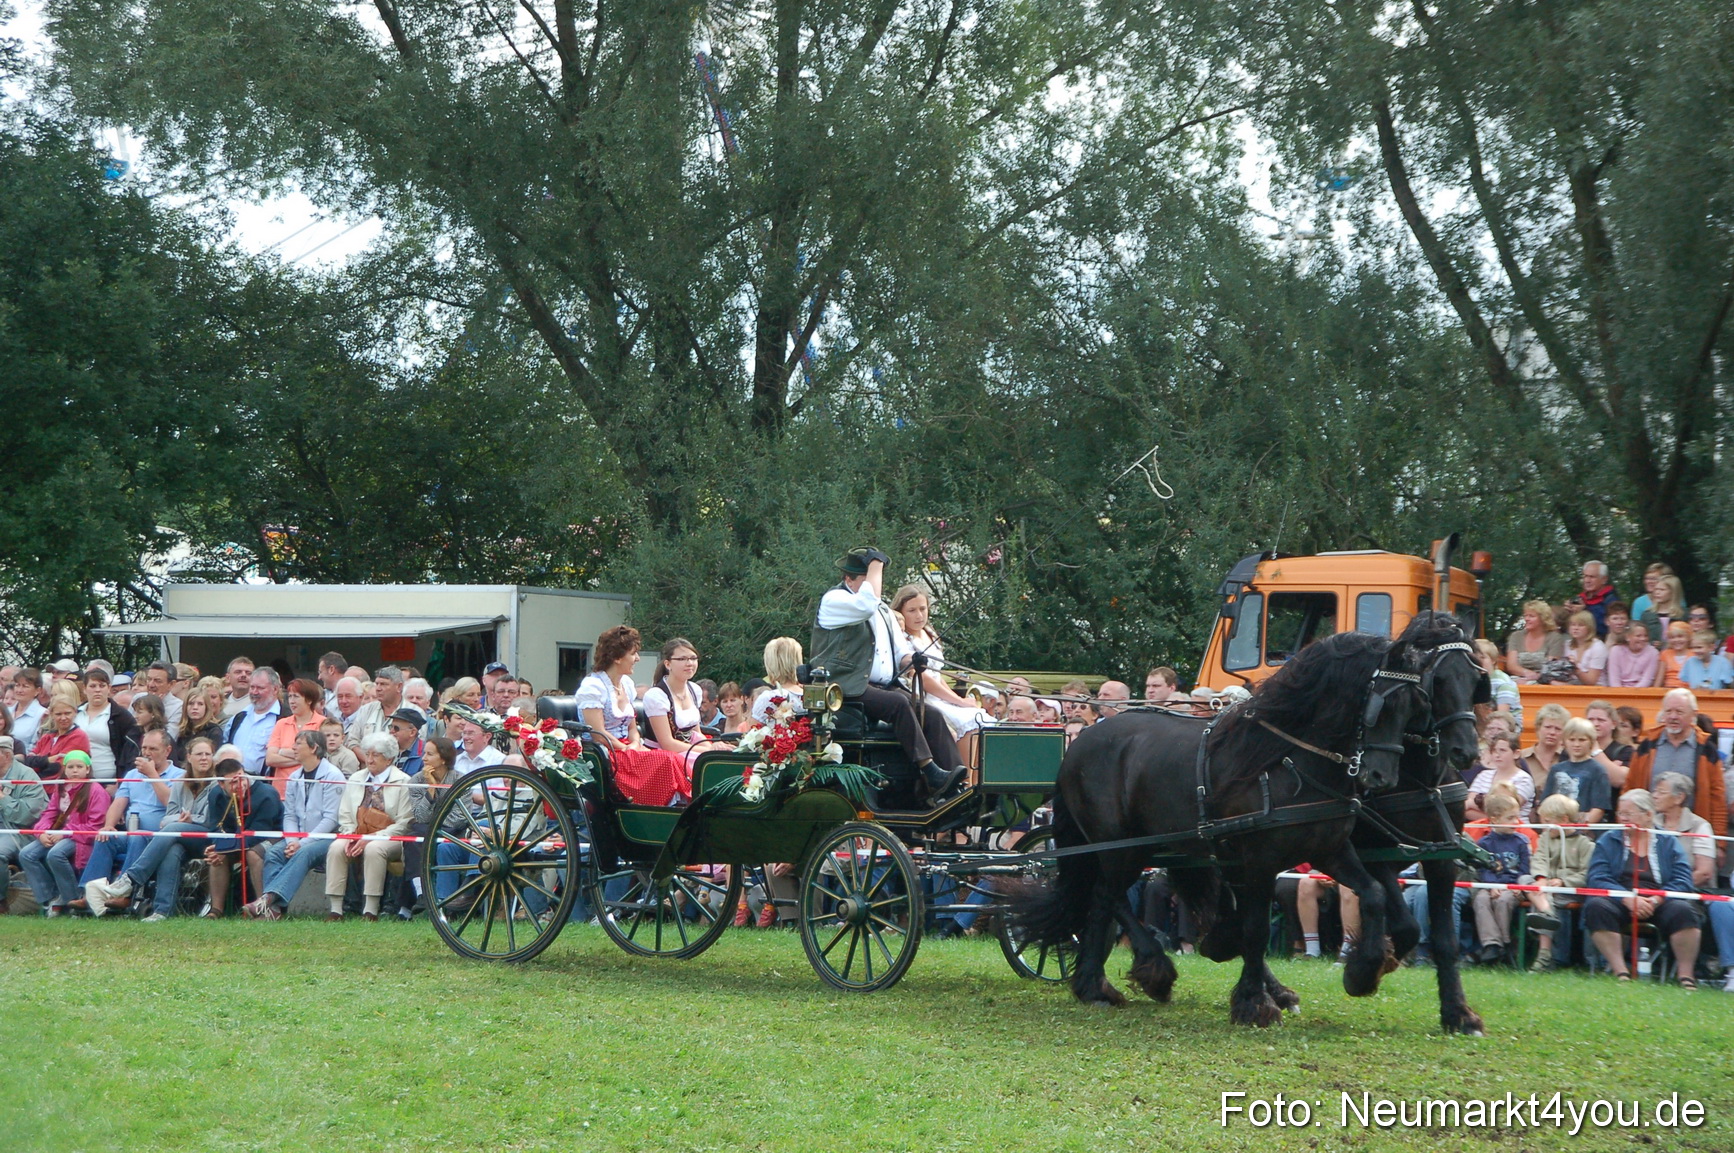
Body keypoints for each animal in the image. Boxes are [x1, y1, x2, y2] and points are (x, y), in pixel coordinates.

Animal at [1013, 629, 1434, 1026]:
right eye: (1383, 705)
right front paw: (1254, 1004)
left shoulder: (1328, 851)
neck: (1286, 761)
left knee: (1109, 898)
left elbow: (1373, 893)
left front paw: (1362, 972)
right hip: (1120, 847)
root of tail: (1079, 744)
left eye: (1416, 706)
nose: (1380, 777)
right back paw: (1112, 981)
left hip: (1150, 847)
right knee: (1105, 898)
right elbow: (1256, 929)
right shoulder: (1261, 859)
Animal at [1349, 612, 1489, 1034]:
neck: (1422, 780)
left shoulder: (1441, 857)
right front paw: (1368, 967)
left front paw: (1458, 1012)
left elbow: (1445, 940)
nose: (1465, 751)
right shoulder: (1375, 853)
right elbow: (1407, 925)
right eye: (1437, 681)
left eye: (1475, 680)